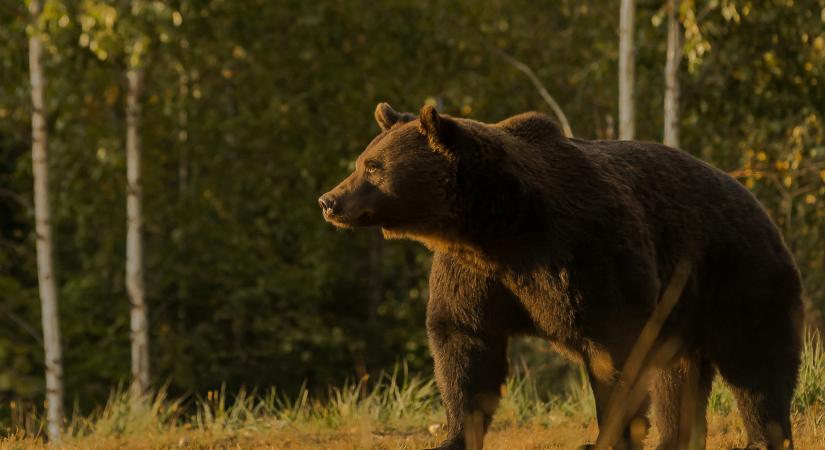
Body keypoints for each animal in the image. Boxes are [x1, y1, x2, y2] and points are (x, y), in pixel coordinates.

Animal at [318, 103, 800, 450]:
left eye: (374, 167)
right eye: (362, 161)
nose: (329, 200)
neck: (499, 227)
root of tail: (754, 201)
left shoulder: (586, 256)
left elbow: (614, 355)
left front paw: (608, 438)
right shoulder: (473, 276)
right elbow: (464, 347)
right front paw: (454, 436)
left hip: (739, 276)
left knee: (757, 362)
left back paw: (765, 437)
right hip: (682, 309)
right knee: (677, 377)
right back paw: (674, 440)